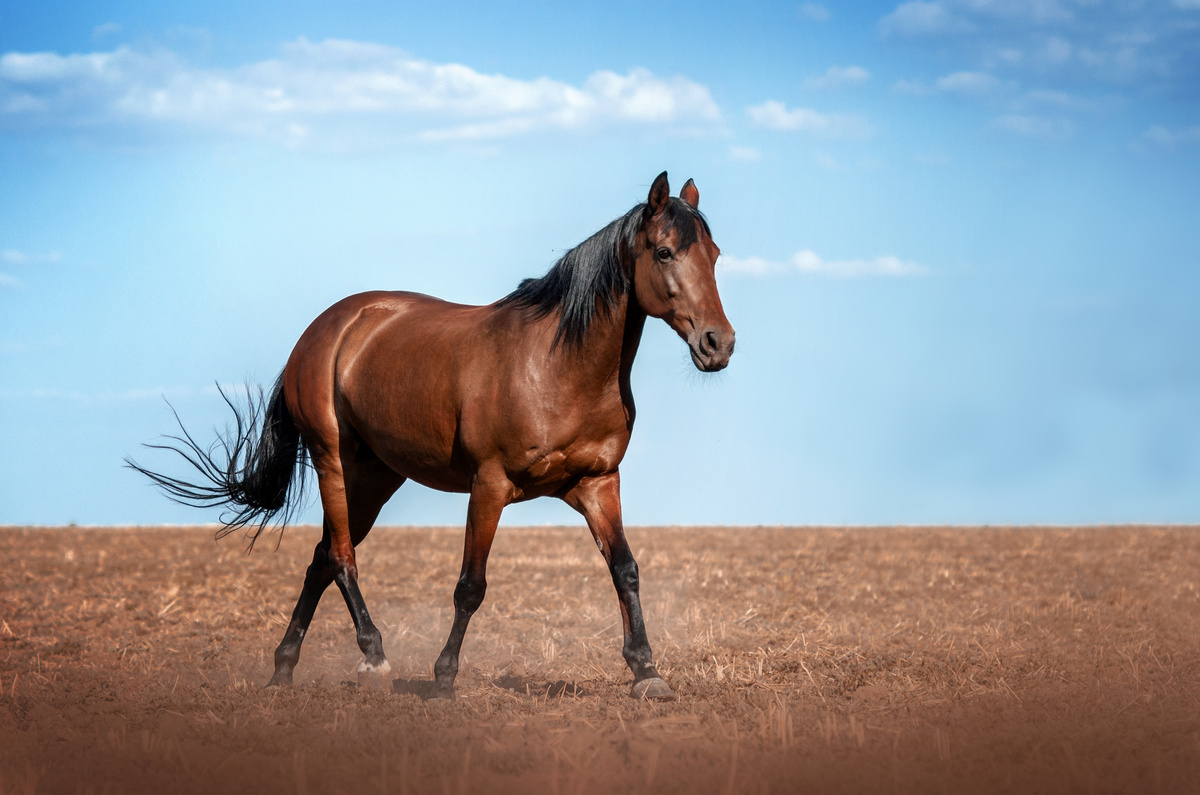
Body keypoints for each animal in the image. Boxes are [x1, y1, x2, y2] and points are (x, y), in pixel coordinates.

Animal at [129, 171, 729, 701]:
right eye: (665, 253)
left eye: (716, 255)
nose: (718, 343)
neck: (558, 367)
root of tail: (323, 330)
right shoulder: (490, 486)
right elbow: (470, 586)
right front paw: (443, 679)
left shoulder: (598, 484)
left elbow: (625, 570)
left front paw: (647, 672)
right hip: (333, 463)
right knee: (341, 557)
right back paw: (373, 659)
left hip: (377, 477)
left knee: (322, 557)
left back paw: (283, 670)